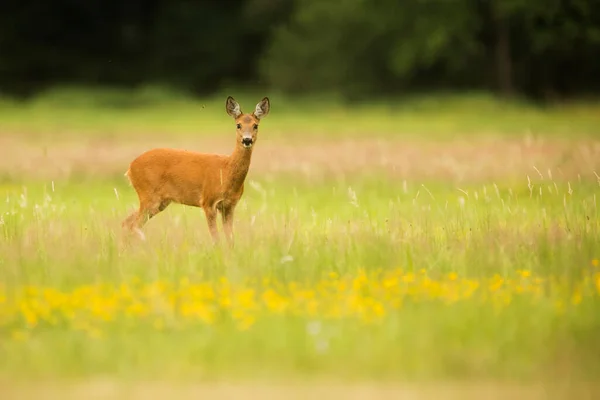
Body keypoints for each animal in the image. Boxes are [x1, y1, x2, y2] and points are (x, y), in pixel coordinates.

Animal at [120, 97, 270, 247]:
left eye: (255, 125)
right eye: (238, 125)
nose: (247, 140)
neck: (226, 171)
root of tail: (130, 168)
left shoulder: (229, 205)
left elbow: (230, 239)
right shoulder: (208, 201)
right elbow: (216, 239)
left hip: (159, 202)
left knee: (127, 222)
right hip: (148, 196)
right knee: (133, 225)